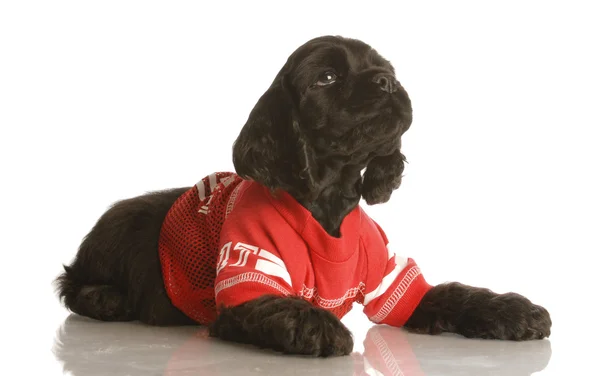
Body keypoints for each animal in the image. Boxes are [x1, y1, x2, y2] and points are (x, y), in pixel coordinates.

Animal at [54, 36, 552, 358]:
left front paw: (514, 311)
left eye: (387, 70)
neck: (329, 204)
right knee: (70, 284)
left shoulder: (396, 281)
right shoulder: (247, 282)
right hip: (118, 231)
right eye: (326, 77)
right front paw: (316, 323)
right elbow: (279, 304)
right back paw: (105, 299)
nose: (387, 84)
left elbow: (456, 292)